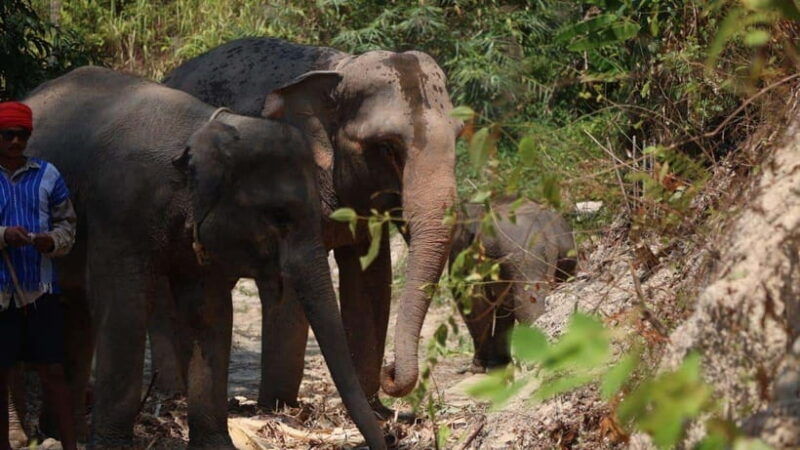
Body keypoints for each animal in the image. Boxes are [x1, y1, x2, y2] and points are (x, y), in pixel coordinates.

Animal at [22, 66, 385, 449]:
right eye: (280, 216)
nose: (386, 437)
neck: (206, 130)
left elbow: (209, 310)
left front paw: (216, 445)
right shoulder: (119, 209)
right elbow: (125, 306)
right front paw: (112, 446)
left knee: (75, 312)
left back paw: (61, 434)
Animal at [162, 37, 461, 408]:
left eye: (459, 137)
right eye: (387, 147)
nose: (390, 373)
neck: (339, 69)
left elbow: (371, 278)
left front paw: (373, 409)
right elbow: (294, 280)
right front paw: (278, 407)